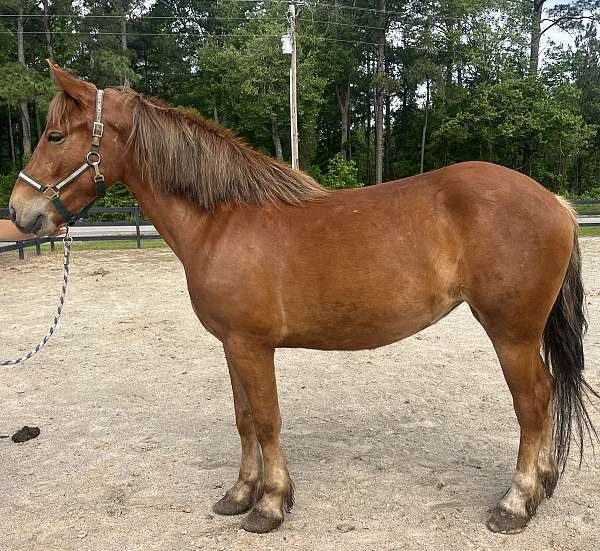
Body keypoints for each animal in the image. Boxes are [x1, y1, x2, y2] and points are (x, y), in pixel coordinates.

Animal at [7, 63, 596, 536]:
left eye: (55, 135)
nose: (18, 213)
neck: (221, 220)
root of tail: (556, 203)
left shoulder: (253, 346)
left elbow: (268, 420)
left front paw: (269, 506)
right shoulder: (232, 346)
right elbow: (244, 418)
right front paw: (239, 494)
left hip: (511, 332)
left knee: (533, 403)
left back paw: (516, 503)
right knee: (544, 398)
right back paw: (542, 486)